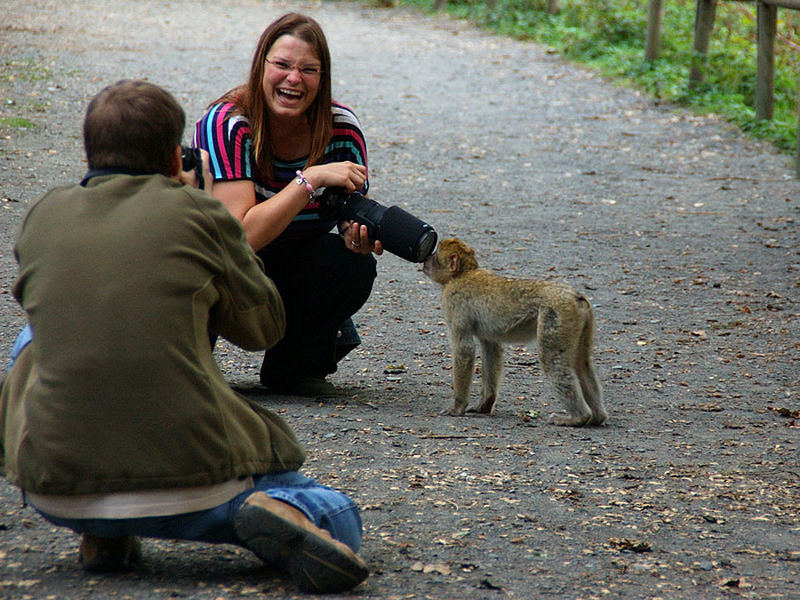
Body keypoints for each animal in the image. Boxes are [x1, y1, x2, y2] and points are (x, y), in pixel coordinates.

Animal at [424, 238, 608, 426]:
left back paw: (577, 418)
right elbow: (491, 348)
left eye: (435, 254)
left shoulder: (453, 303)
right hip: (580, 323)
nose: (427, 259)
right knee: (582, 363)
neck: (463, 273)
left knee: (552, 360)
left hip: (556, 316)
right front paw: (484, 405)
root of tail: (576, 296)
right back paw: (597, 417)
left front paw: (457, 407)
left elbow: (464, 350)